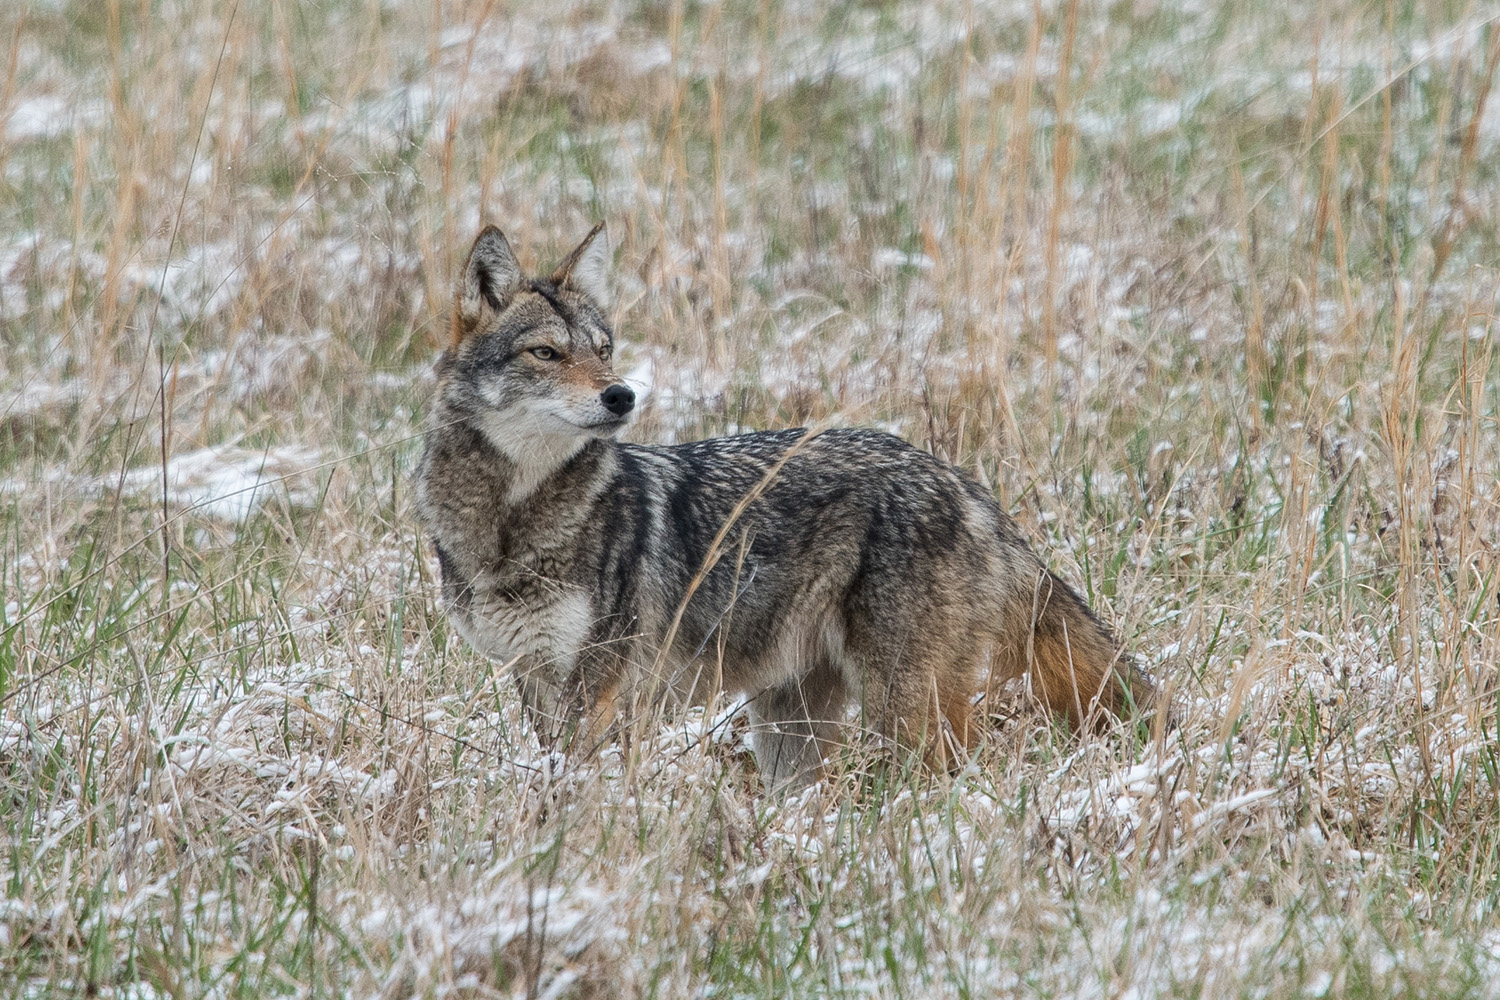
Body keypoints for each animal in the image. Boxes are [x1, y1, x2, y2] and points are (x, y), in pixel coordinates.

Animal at [415, 223, 1155, 790]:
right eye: (546, 353)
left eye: (603, 351)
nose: (622, 394)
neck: (510, 527)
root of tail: (962, 481)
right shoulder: (534, 679)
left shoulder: (597, 689)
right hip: (791, 726)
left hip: (904, 710)